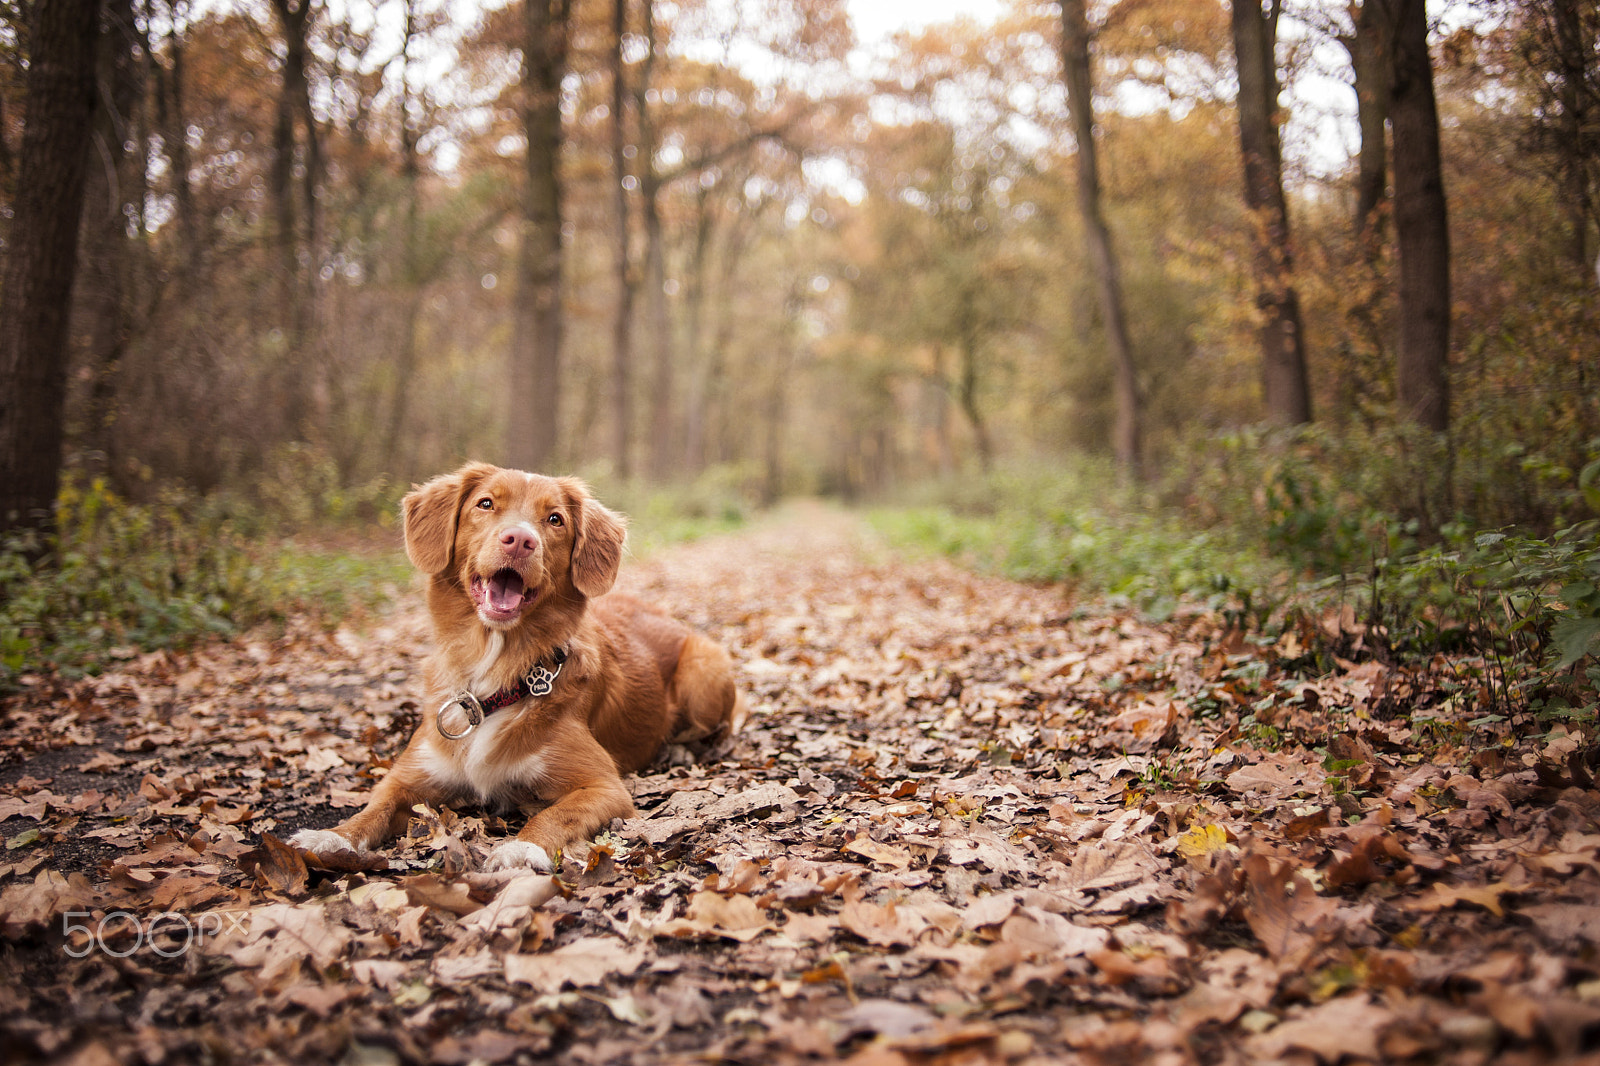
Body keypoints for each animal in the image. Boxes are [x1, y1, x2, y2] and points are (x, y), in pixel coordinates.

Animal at [291, 460, 745, 870]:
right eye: (486, 503)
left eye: (555, 519)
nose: (520, 540)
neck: (493, 674)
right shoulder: (409, 776)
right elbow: (374, 808)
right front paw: (332, 837)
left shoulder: (604, 787)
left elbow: (557, 814)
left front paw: (522, 848)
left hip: (705, 670)